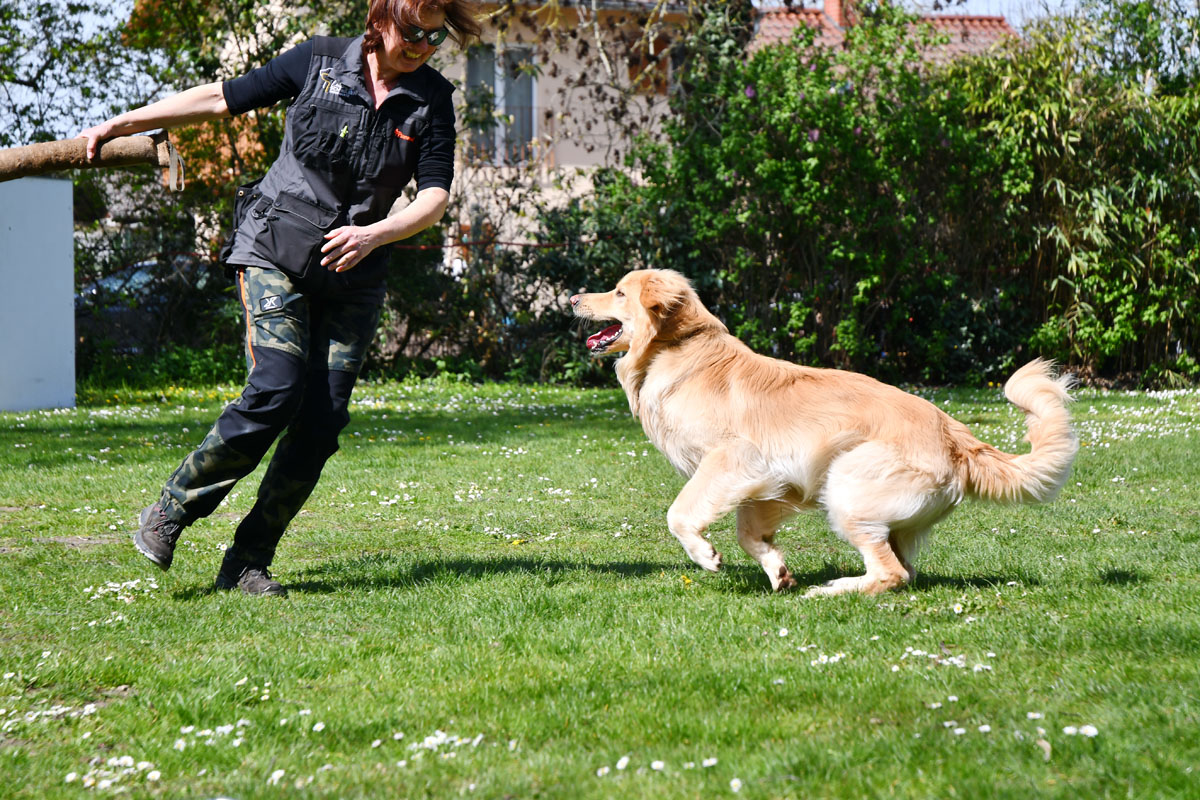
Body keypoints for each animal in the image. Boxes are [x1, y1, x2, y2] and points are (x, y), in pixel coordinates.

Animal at [571, 268, 1080, 594]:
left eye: (619, 292)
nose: (573, 299)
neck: (676, 350)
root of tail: (956, 437)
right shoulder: (766, 480)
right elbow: (750, 535)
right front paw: (777, 571)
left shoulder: (731, 459)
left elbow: (679, 514)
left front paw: (705, 555)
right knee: (905, 573)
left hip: (847, 487)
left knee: (890, 574)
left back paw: (831, 589)